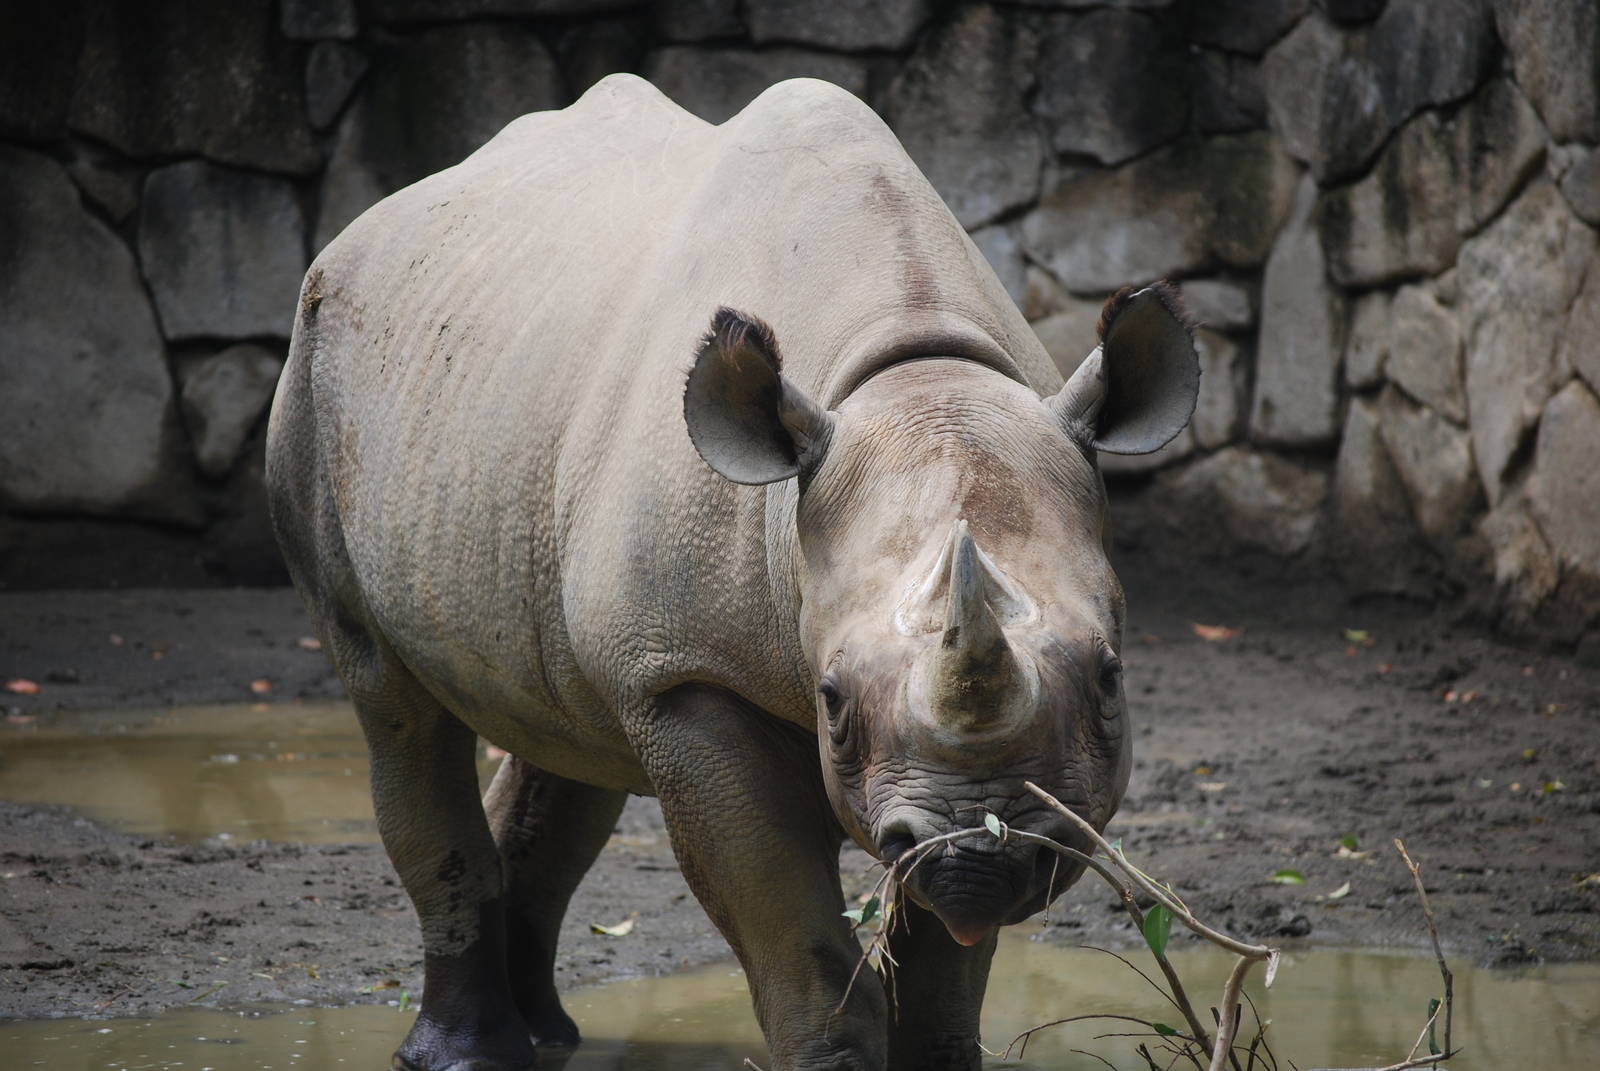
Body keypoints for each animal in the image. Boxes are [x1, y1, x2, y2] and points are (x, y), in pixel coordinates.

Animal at [266, 74, 1199, 1071]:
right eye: (830, 699)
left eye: (1111, 676)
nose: (980, 857)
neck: (914, 376)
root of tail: (363, 228)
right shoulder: (686, 675)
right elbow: (786, 919)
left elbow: (942, 949)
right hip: (317, 372)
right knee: (395, 706)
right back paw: (468, 1052)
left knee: (566, 737)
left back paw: (548, 1034)